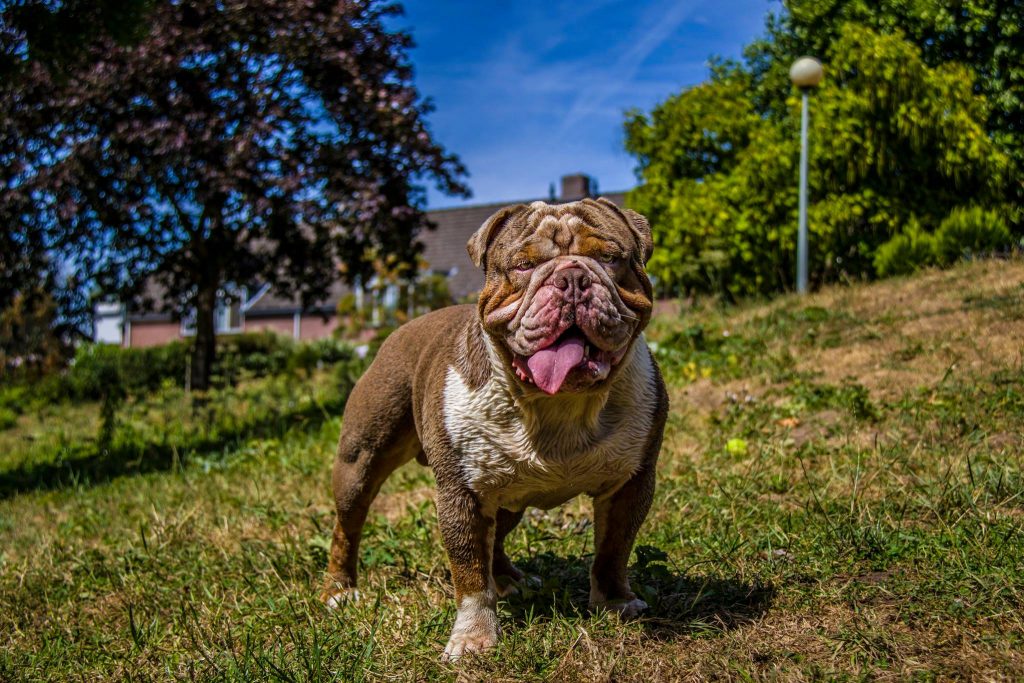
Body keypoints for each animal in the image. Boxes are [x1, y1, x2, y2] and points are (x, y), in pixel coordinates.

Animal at [323, 196, 667, 655]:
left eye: (611, 259)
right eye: (523, 265)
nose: (572, 277)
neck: (556, 404)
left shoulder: (630, 482)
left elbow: (613, 549)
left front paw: (614, 602)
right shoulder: (462, 495)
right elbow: (469, 572)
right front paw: (473, 637)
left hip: (508, 497)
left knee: (498, 537)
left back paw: (506, 578)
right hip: (360, 464)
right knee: (348, 527)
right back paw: (339, 590)